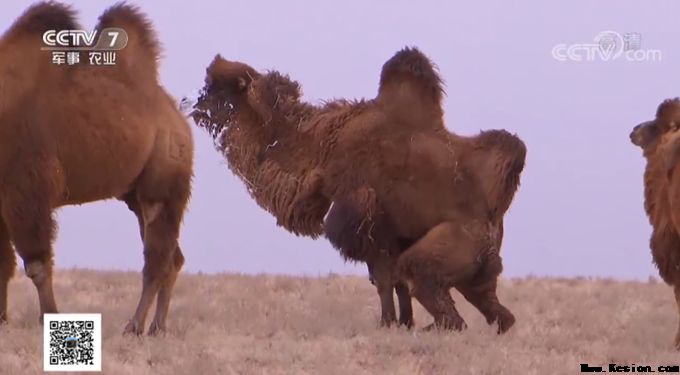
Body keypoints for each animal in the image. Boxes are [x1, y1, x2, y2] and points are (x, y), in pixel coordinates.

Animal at [0, 2, 194, 338]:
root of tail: (178, 117)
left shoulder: (25, 187)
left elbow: (37, 264)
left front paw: (48, 318)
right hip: (136, 195)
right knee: (173, 258)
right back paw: (157, 327)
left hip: (164, 181)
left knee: (157, 259)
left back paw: (134, 326)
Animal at [191, 47, 524, 332]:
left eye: (221, 87)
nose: (195, 108)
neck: (320, 147)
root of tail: (493, 214)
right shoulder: (393, 232)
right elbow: (393, 282)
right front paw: (403, 323)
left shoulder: (366, 217)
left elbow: (385, 278)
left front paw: (388, 323)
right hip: (480, 271)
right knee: (496, 310)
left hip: (455, 247)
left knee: (431, 287)